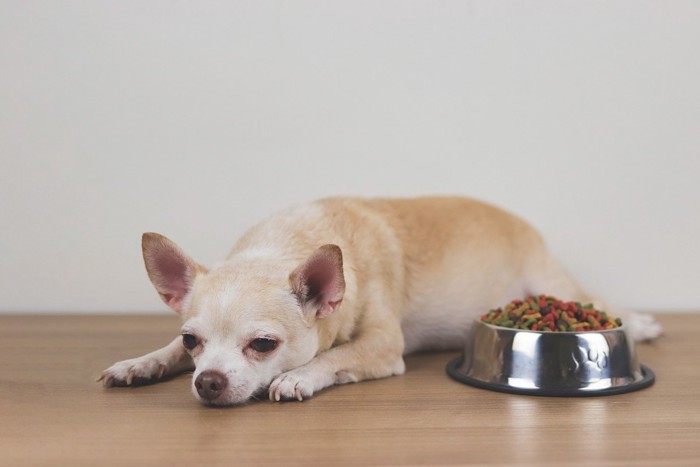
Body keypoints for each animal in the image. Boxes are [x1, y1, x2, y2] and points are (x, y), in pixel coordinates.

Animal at [100, 197, 660, 406]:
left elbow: (337, 354)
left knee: (597, 301)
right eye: (191, 341)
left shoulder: (384, 346)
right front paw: (140, 364)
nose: (208, 382)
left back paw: (640, 322)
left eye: (262, 345)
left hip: (553, 283)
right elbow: (160, 351)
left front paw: (298, 376)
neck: (282, 245)